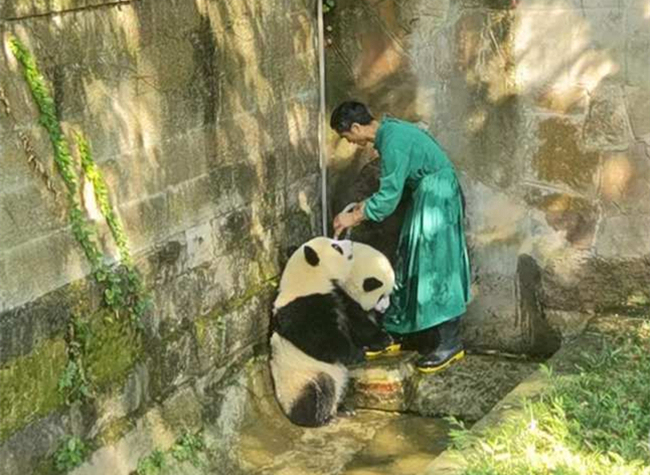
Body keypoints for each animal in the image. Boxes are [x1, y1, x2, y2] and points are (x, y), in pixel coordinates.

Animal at [269, 237, 395, 427]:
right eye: (336, 246)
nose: (350, 241)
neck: (306, 281)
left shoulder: (336, 295)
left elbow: (355, 322)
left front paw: (382, 338)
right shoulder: (302, 308)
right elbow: (322, 339)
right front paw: (357, 353)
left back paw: (343, 408)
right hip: (299, 379)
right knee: (318, 391)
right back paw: (322, 419)